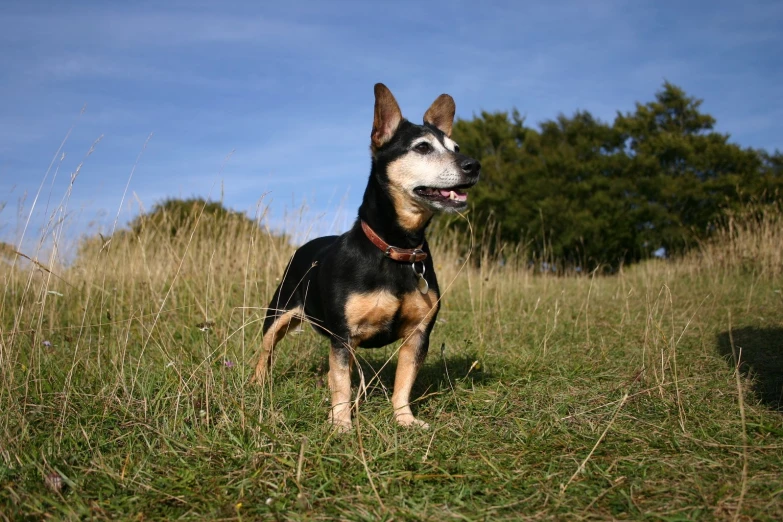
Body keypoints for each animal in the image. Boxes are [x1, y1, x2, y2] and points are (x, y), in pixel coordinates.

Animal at [254, 83, 480, 428]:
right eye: (422, 148)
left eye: (455, 147)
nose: (474, 165)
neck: (396, 247)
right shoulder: (343, 335)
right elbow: (341, 384)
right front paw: (341, 424)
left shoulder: (419, 335)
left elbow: (403, 382)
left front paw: (405, 419)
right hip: (279, 311)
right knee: (265, 351)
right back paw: (256, 383)